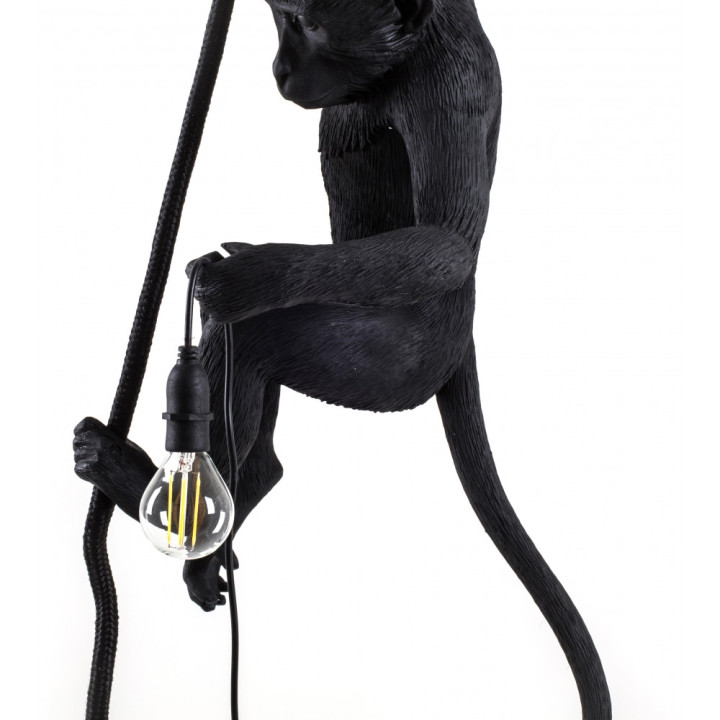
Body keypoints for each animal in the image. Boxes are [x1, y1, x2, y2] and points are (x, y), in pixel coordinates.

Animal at [73, 1, 611, 717]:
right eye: (279, 19)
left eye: (306, 24)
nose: (278, 67)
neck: (404, 61)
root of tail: (461, 338)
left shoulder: (450, 85)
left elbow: (444, 241)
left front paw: (247, 270)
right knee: (253, 408)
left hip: (394, 363)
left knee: (259, 337)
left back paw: (151, 496)